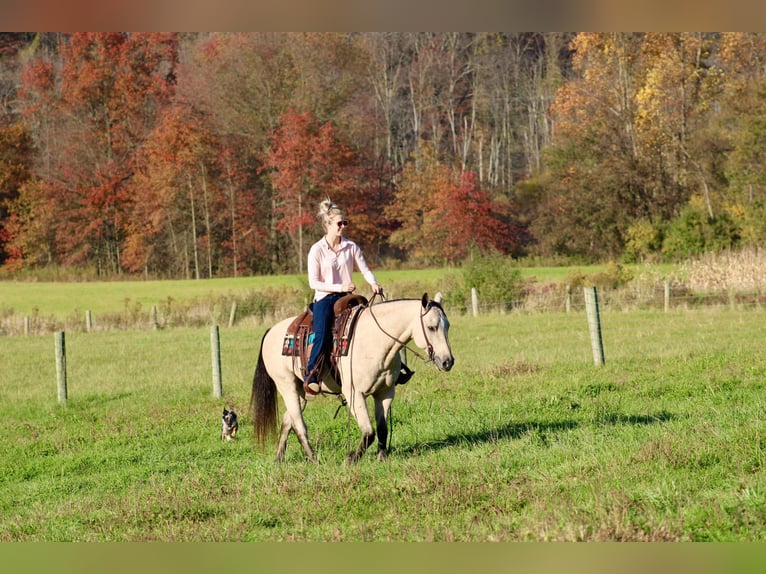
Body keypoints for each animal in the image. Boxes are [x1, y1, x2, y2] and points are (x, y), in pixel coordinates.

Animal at [252, 294, 456, 466]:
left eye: (447, 326)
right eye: (431, 327)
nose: (448, 361)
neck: (375, 341)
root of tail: (271, 331)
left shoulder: (385, 393)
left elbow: (382, 428)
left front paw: (381, 458)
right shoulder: (354, 394)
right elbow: (369, 432)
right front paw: (350, 460)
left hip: (300, 390)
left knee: (289, 421)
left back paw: (279, 459)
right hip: (286, 386)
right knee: (299, 425)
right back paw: (314, 459)